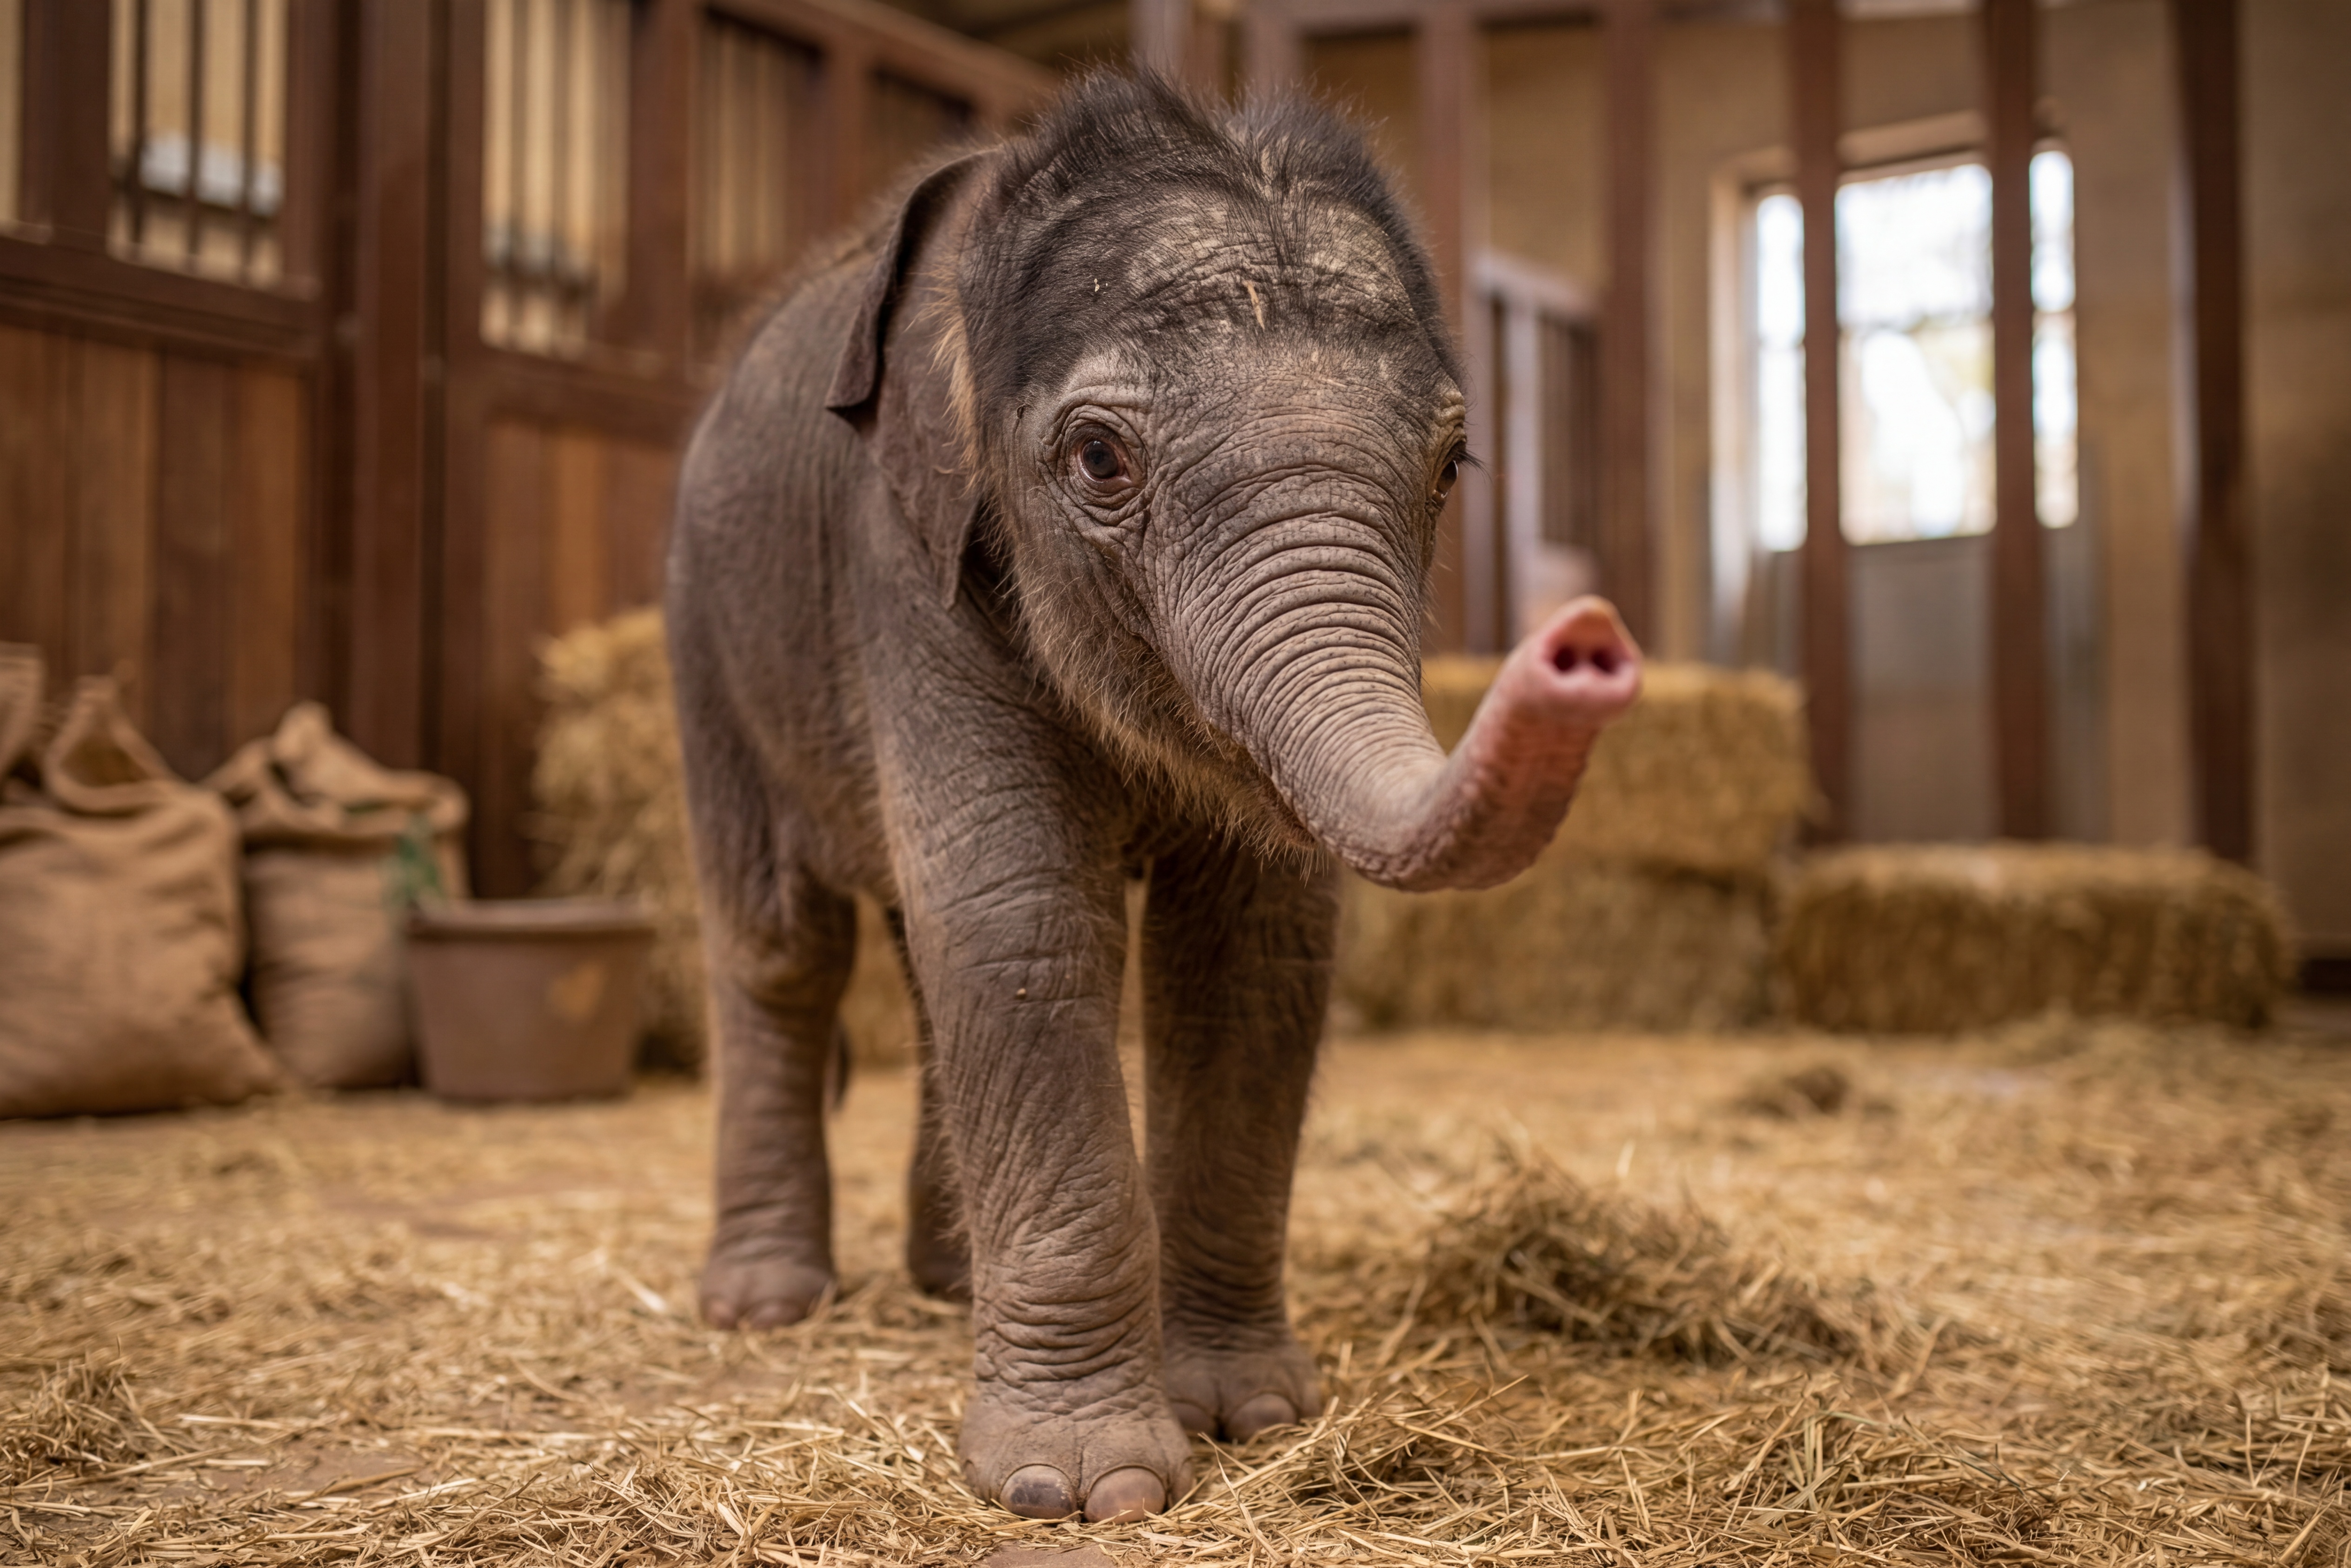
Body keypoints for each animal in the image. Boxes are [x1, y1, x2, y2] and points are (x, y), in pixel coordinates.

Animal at [664, 73, 1642, 1524]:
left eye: (1451, 467)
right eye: (1099, 460)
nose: (1585, 640)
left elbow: (1255, 946)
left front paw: (1251, 1414)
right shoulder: (906, 564)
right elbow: (1019, 922)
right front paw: (1084, 1490)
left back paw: (951, 1283)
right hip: (706, 641)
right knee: (784, 945)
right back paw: (765, 1303)